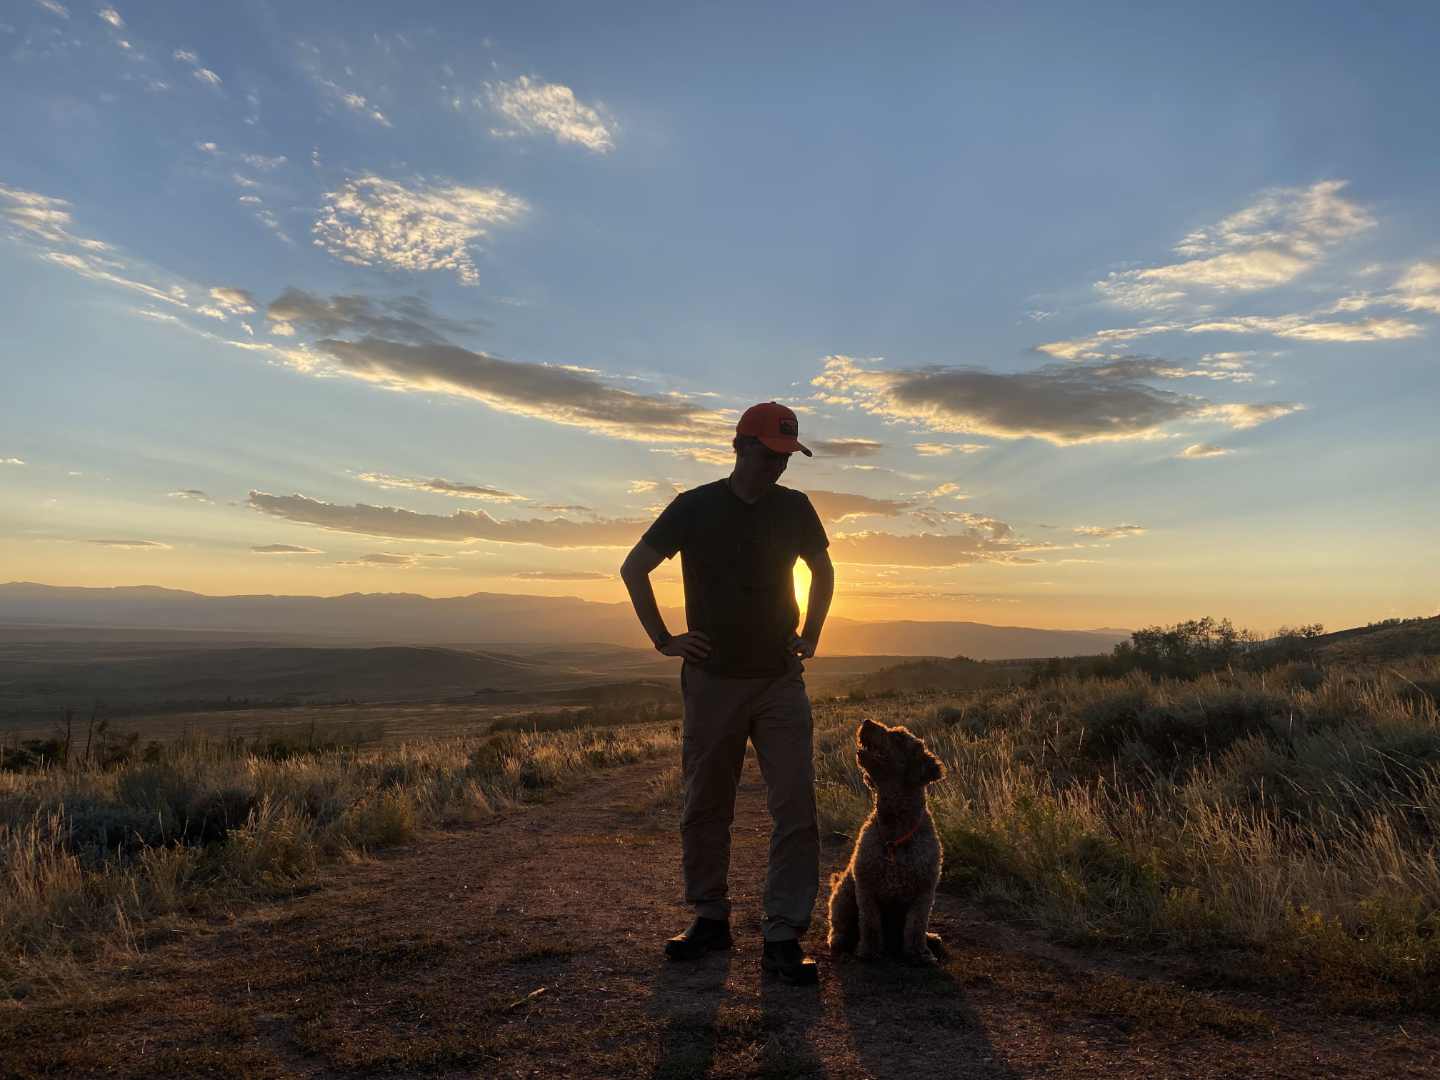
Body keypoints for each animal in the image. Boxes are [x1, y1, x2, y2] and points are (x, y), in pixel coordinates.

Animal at [835, 720, 944, 961]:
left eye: (899, 738)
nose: (866, 722)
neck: (895, 827)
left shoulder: (924, 892)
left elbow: (916, 926)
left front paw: (919, 953)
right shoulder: (866, 888)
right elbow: (870, 924)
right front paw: (869, 951)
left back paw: (931, 939)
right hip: (844, 893)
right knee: (840, 924)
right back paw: (841, 941)